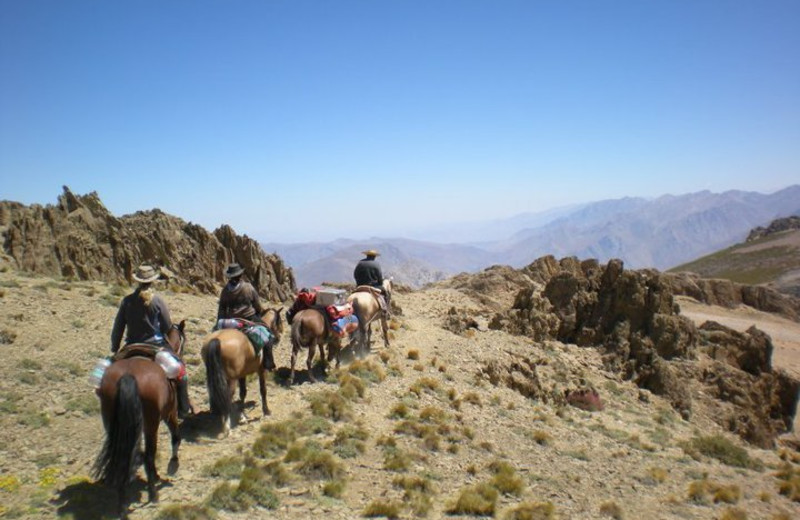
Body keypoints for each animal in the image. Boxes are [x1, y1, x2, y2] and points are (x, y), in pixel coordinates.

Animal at [93, 320, 187, 516]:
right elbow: (175, 437)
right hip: (151, 423)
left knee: (123, 455)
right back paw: (153, 495)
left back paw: (122, 504)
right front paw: (172, 464)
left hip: (113, 421)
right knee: (150, 454)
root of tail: (128, 376)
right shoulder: (170, 412)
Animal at [200, 306, 284, 436]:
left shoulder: (242, 374)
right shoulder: (261, 370)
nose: (279, 337)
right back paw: (226, 426)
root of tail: (216, 340)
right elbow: (263, 390)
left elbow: (243, 393)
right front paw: (266, 411)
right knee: (228, 396)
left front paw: (242, 414)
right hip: (231, 379)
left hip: (214, 375)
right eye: (279, 321)